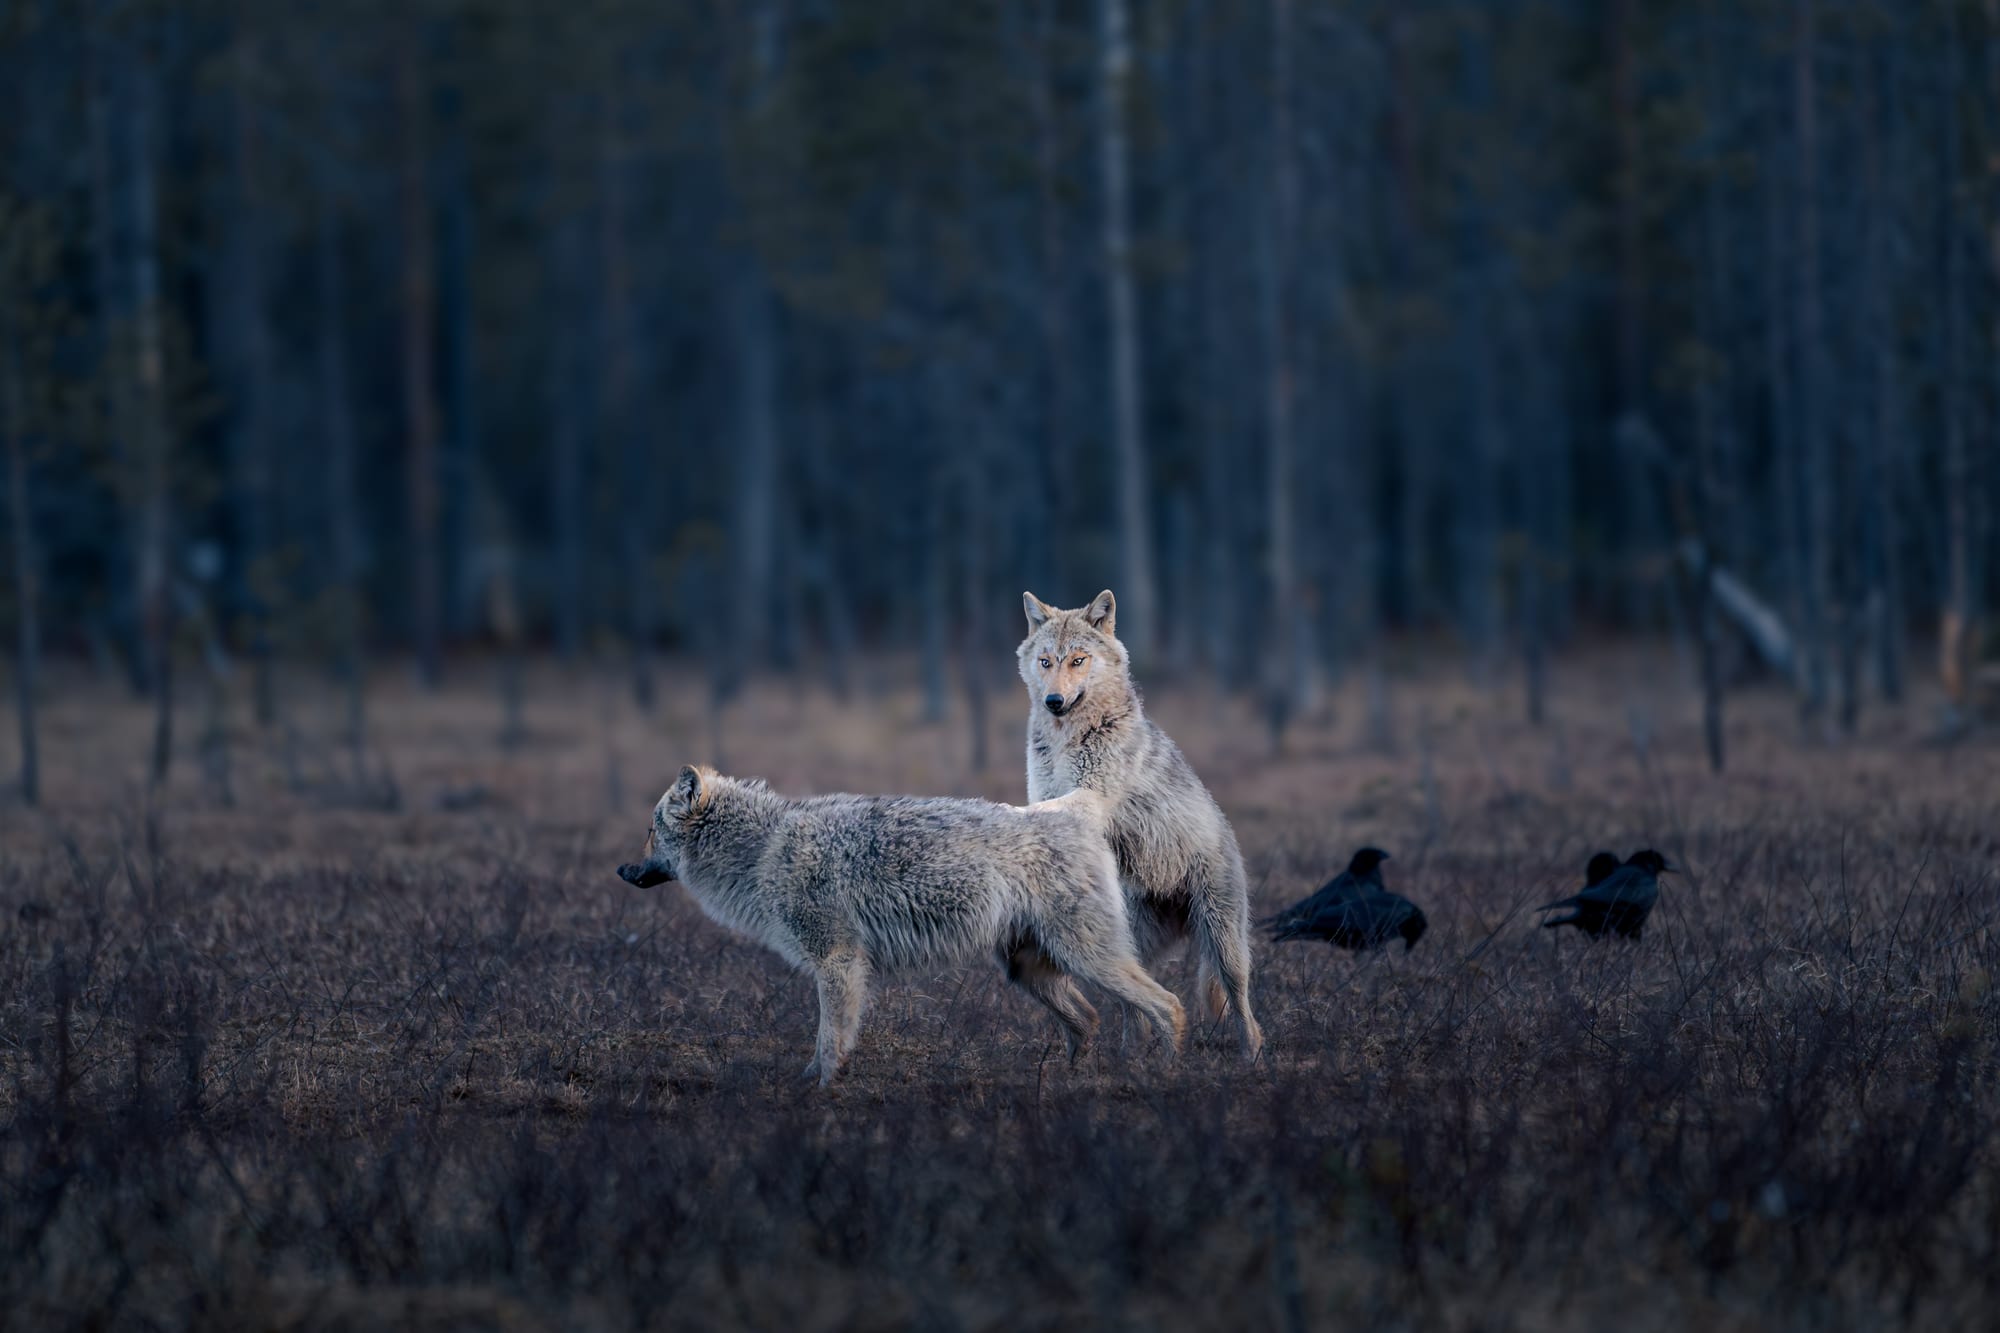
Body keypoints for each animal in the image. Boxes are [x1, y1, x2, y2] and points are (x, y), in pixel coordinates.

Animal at [616, 765, 1187, 1084]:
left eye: (649, 831)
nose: (621, 871)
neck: (762, 851)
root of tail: (1075, 811)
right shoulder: (845, 967)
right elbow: (829, 1040)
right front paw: (807, 1082)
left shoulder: (838, 962)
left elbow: (829, 1039)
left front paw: (820, 1090)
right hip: (1028, 972)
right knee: (1088, 1020)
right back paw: (1070, 1084)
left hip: (1086, 959)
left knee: (1169, 1005)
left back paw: (1169, 1078)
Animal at [1017, 590, 1264, 1058]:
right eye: (1046, 661)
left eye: (1078, 660)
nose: (1053, 701)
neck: (1066, 738)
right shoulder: (1045, 792)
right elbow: (1044, 810)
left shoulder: (1090, 797)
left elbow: (1046, 809)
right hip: (1132, 945)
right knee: (1137, 1008)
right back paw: (1131, 1058)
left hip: (1225, 946)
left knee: (1245, 1013)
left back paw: (1251, 1059)